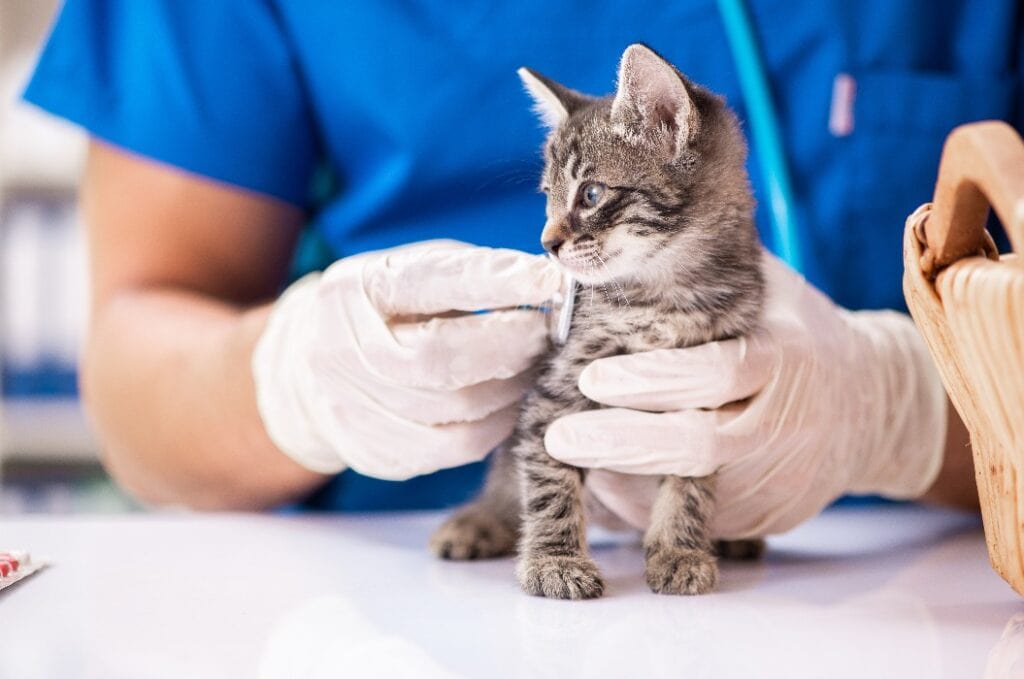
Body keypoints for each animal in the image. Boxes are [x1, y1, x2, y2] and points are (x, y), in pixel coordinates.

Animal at [428, 43, 765, 602]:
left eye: (590, 194)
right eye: (546, 195)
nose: (546, 243)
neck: (667, 293)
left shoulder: (705, 400)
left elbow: (690, 481)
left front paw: (679, 549)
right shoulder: (554, 395)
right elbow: (549, 485)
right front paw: (555, 561)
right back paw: (478, 521)